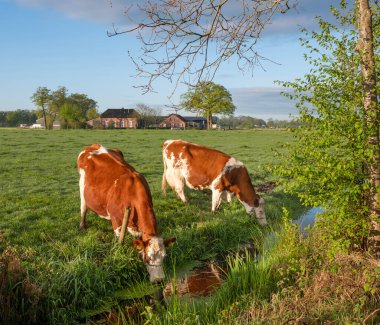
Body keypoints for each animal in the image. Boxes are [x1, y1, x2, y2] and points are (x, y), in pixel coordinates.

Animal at [79, 143, 177, 282]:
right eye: (148, 258)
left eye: (164, 257)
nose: (159, 280)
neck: (133, 194)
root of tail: (94, 145)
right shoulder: (116, 220)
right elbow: (120, 239)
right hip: (82, 189)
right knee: (83, 208)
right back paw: (82, 226)